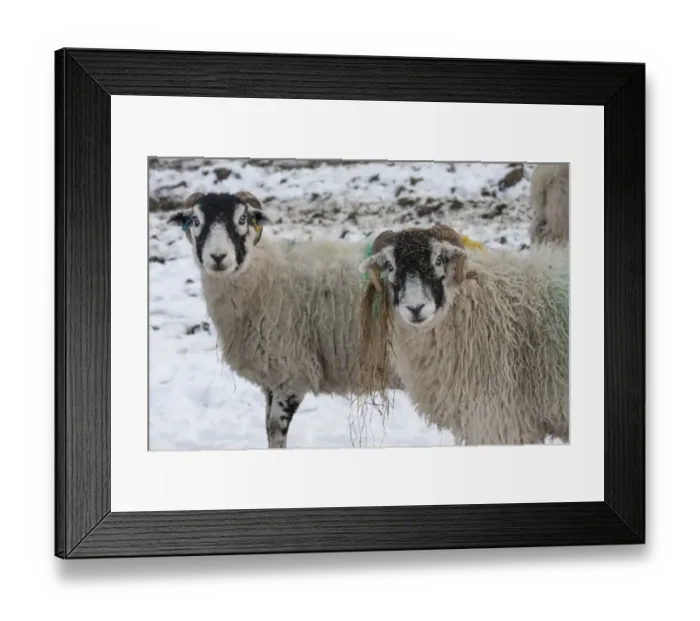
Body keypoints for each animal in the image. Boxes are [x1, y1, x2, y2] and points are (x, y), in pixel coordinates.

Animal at [167, 190, 402, 449]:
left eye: (242, 219)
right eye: (196, 220)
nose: (218, 257)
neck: (265, 276)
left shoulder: (291, 372)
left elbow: (275, 429)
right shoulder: (272, 377)